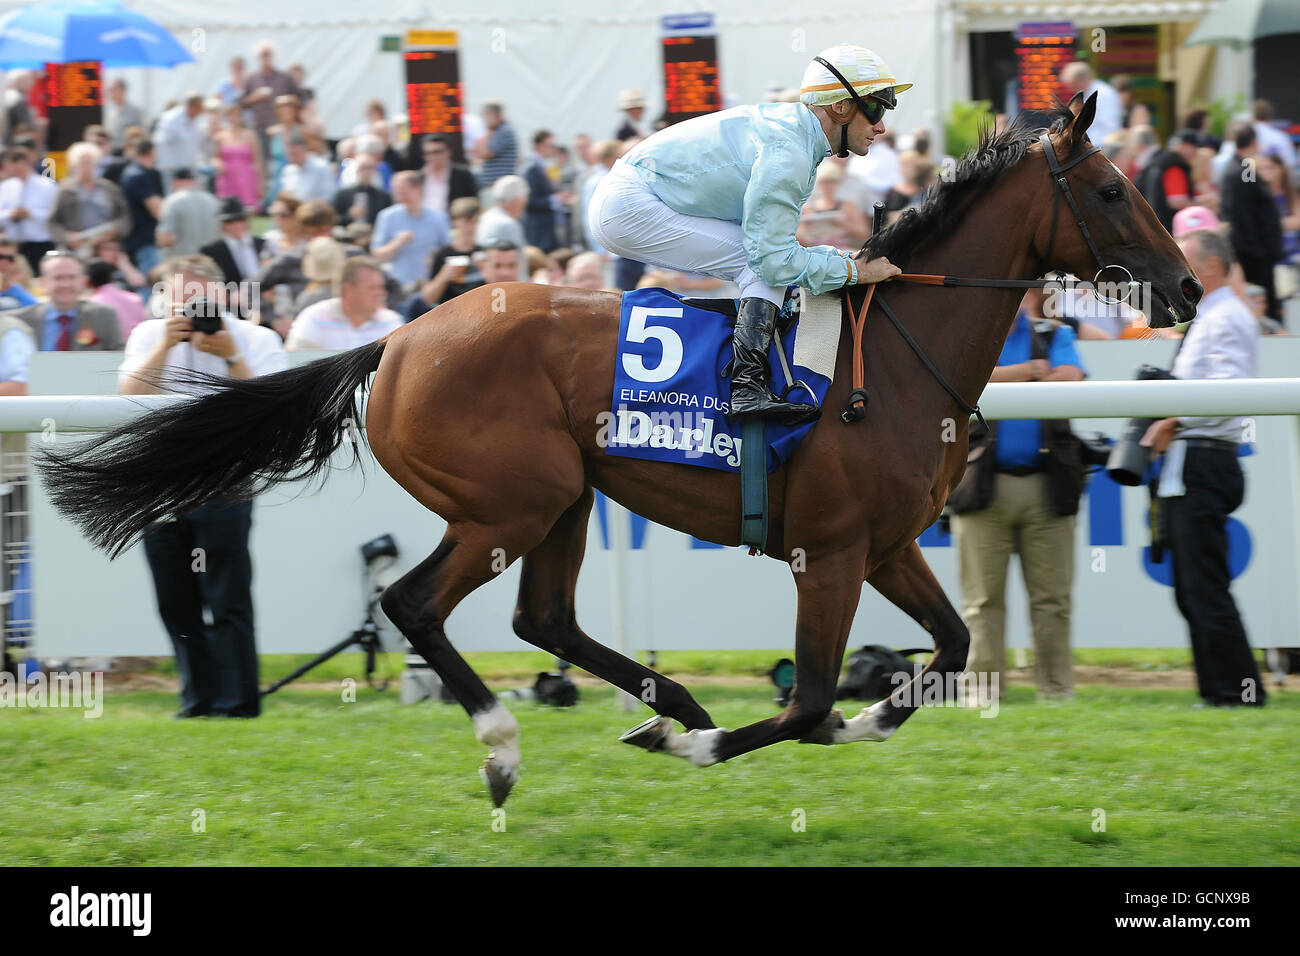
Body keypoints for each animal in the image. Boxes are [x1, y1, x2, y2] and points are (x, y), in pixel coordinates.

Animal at [37, 93, 1202, 806]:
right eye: (1111, 190)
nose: (1190, 286)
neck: (900, 355)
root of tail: (398, 338)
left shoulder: (885, 544)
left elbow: (949, 650)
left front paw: (858, 717)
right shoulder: (826, 552)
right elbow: (809, 698)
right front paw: (721, 742)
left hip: (561, 498)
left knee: (541, 617)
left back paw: (663, 704)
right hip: (513, 498)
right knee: (418, 605)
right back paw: (516, 744)